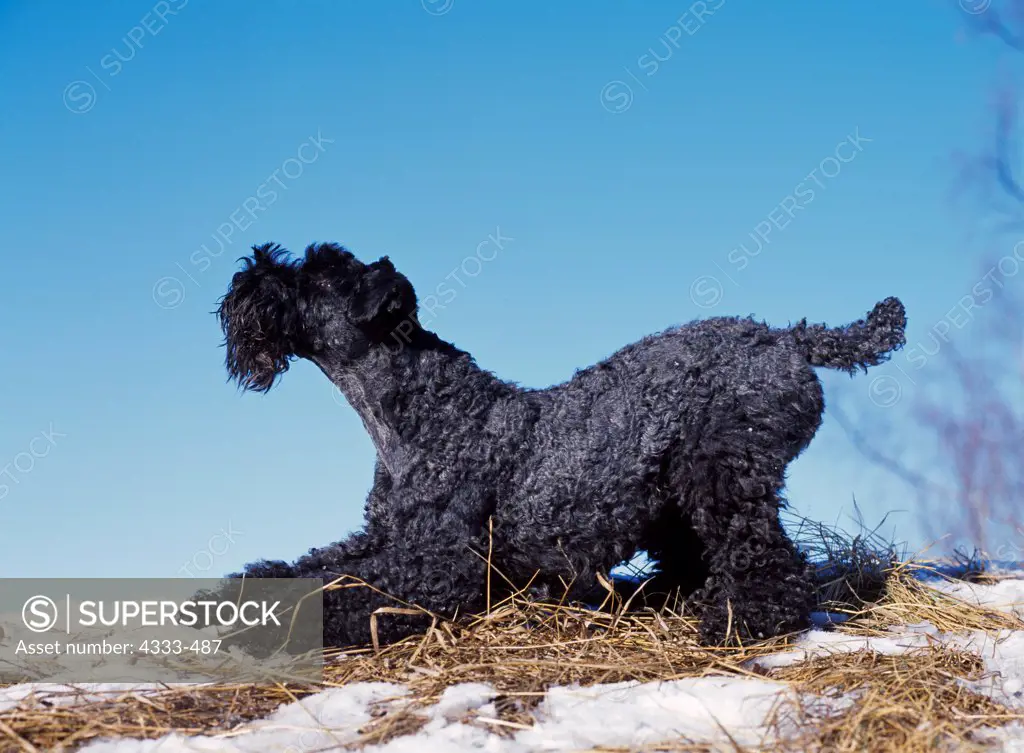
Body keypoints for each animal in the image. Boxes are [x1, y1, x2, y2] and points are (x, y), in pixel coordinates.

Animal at [216, 244, 905, 643]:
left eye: (317, 273)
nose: (250, 275)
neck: (416, 415)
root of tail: (789, 337)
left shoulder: (441, 569)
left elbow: (346, 587)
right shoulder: (381, 537)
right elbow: (308, 564)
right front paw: (229, 596)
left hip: (718, 475)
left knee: (765, 564)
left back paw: (737, 623)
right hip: (672, 496)